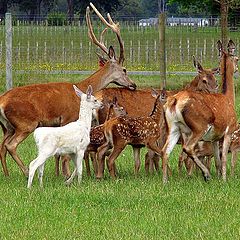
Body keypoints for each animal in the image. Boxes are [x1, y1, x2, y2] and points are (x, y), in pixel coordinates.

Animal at [0, 3, 136, 178]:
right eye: (124, 69)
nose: (133, 85)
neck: (82, 88)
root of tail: (2, 101)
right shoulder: (68, 117)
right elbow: (65, 152)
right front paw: (67, 175)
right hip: (25, 123)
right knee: (10, 145)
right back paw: (25, 171)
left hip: (7, 126)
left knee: (2, 146)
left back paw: (7, 174)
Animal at [161, 39, 238, 183]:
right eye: (237, 58)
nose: (237, 68)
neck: (229, 99)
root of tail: (174, 101)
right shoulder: (228, 130)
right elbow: (224, 158)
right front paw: (224, 179)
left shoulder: (214, 138)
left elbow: (217, 161)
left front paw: (219, 177)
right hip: (198, 126)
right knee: (187, 147)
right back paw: (206, 174)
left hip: (173, 127)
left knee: (165, 151)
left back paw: (165, 182)